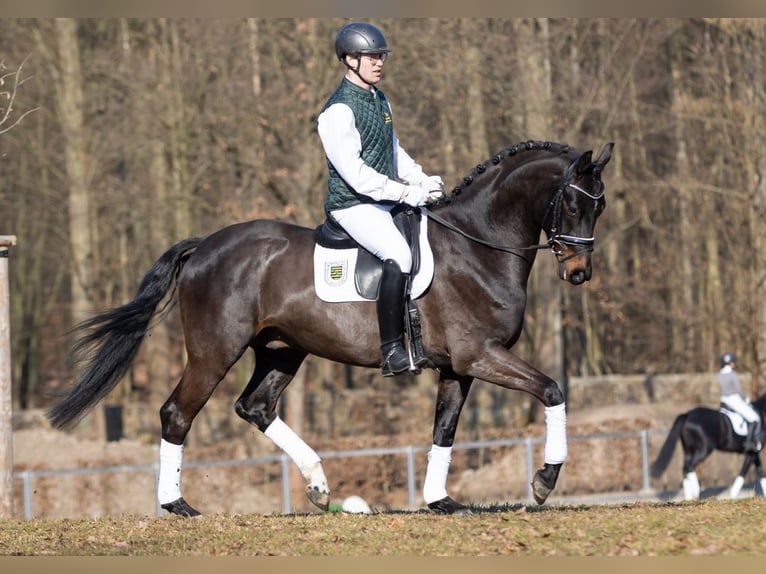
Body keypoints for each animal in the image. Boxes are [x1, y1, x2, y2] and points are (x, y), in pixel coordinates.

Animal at [47, 139, 615, 516]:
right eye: (571, 202)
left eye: (601, 204)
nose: (579, 273)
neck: (477, 245)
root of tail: (205, 245)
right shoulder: (481, 355)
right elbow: (552, 389)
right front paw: (544, 481)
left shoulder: (460, 366)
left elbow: (445, 429)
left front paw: (440, 500)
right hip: (215, 351)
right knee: (177, 413)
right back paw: (178, 504)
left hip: (282, 349)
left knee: (255, 407)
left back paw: (319, 488)